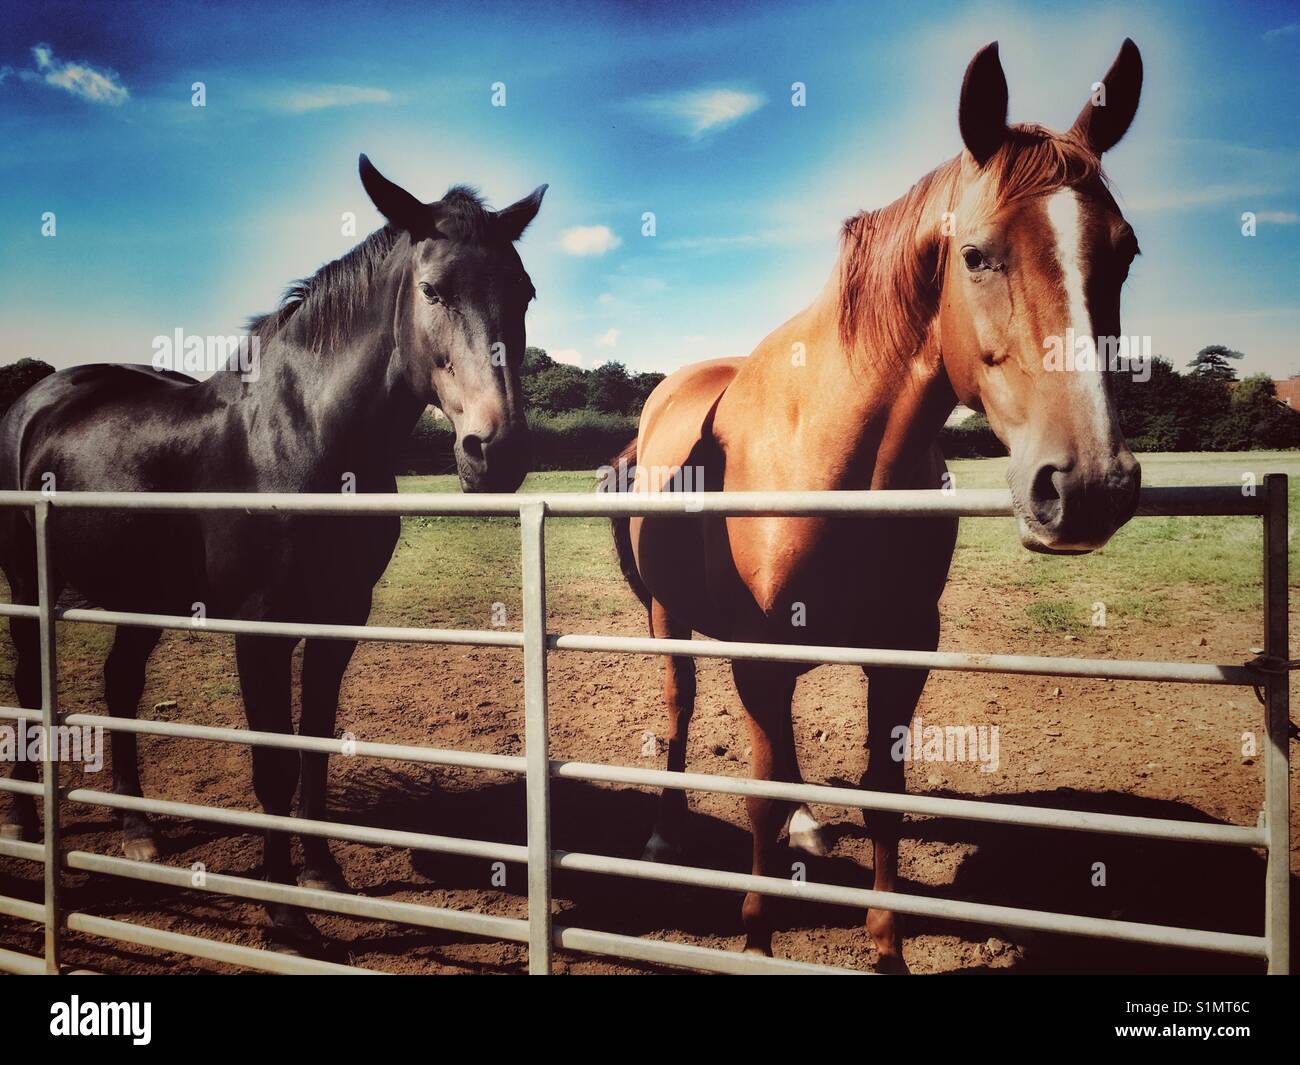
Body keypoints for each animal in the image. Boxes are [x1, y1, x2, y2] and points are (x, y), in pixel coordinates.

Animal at [0, 154, 546, 949]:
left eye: (524, 292)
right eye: (433, 290)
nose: (494, 451)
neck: (299, 436)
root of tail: (36, 399)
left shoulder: (340, 619)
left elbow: (313, 744)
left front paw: (320, 874)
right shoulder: (259, 629)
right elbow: (271, 767)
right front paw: (286, 917)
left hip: (140, 596)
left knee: (119, 684)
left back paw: (139, 832)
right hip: (24, 587)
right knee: (26, 685)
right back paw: (23, 823)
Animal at [607, 40, 1144, 971]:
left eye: (1127, 252)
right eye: (977, 255)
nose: (1086, 486)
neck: (834, 453)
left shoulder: (902, 650)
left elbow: (881, 792)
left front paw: (886, 944)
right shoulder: (757, 656)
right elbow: (756, 793)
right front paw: (756, 935)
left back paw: (807, 828)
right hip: (671, 617)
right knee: (680, 709)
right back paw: (667, 835)